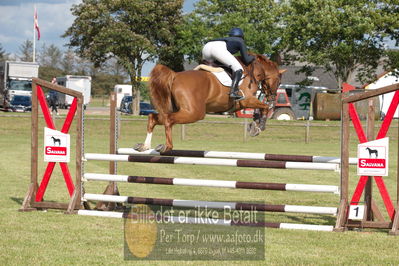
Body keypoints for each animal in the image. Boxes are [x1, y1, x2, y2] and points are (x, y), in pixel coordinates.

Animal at [136, 54, 286, 153]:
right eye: (279, 80)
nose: (272, 98)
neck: (253, 71)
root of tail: (175, 76)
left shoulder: (247, 103)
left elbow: (259, 110)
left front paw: (254, 126)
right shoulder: (246, 100)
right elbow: (264, 108)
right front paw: (260, 127)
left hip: (178, 109)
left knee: (153, 118)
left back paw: (144, 146)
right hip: (194, 113)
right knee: (168, 120)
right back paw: (167, 146)